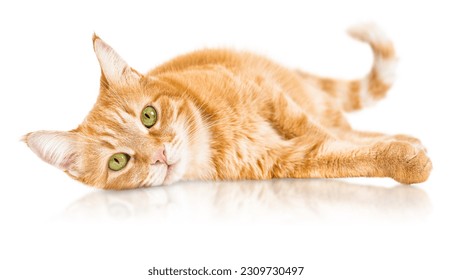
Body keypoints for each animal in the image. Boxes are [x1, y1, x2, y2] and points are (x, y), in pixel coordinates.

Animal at [23, 24, 430, 190]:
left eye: (148, 116)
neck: (213, 137)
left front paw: (403, 148)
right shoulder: (292, 162)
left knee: (342, 124)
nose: (160, 156)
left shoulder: (270, 95)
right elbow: (346, 154)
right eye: (118, 161)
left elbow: (323, 131)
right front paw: (403, 158)